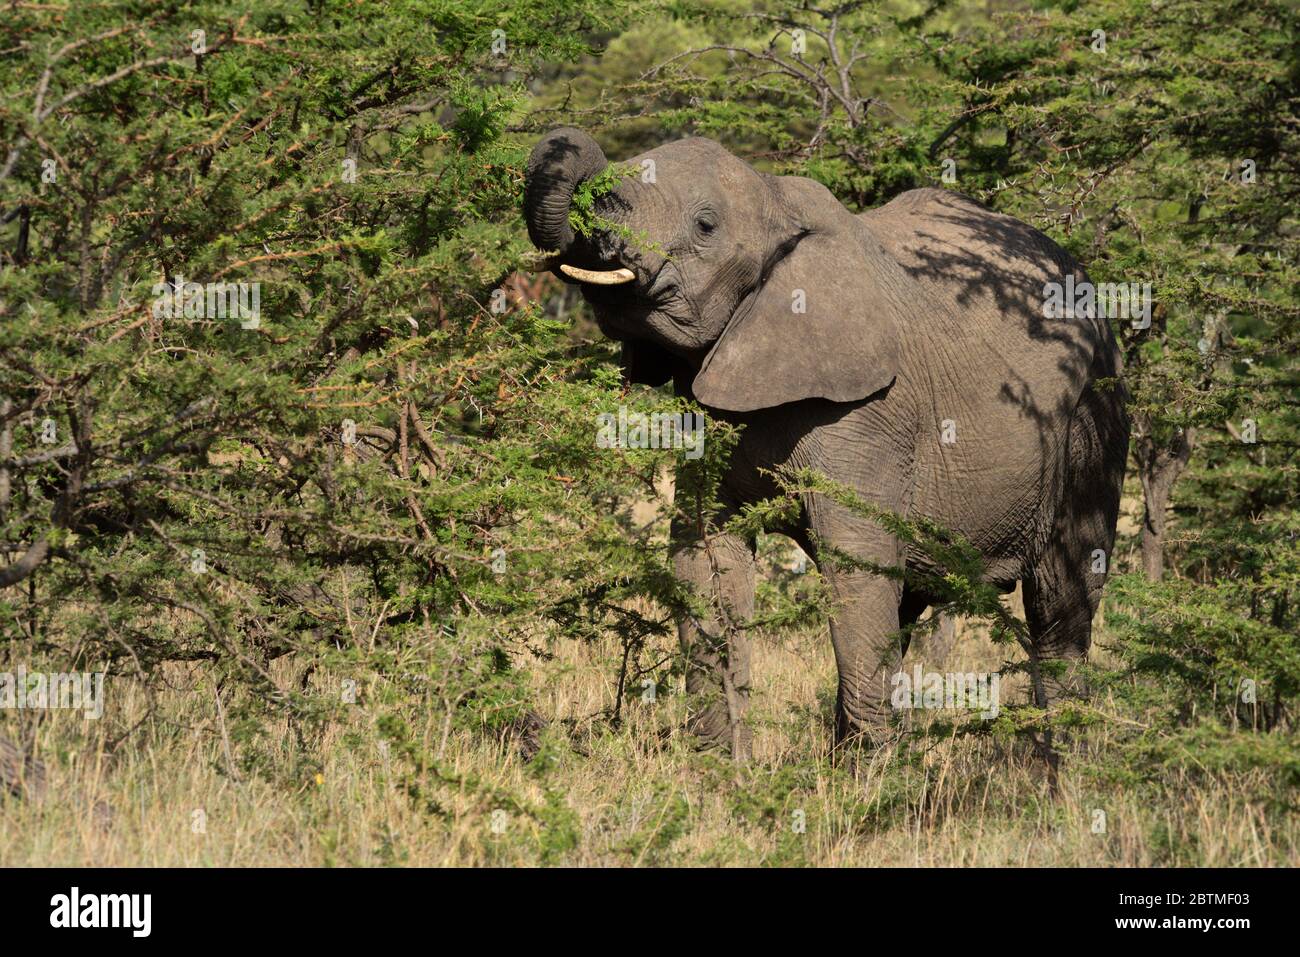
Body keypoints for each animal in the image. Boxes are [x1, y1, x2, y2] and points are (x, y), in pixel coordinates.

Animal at [524, 127, 1129, 759]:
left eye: (705, 226)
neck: (777, 198)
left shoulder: (871, 412)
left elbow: (856, 566)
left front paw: (867, 779)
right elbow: (703, 556)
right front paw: (720, 766)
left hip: (1095, 412)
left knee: (1061, 601)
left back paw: (1062, 767)